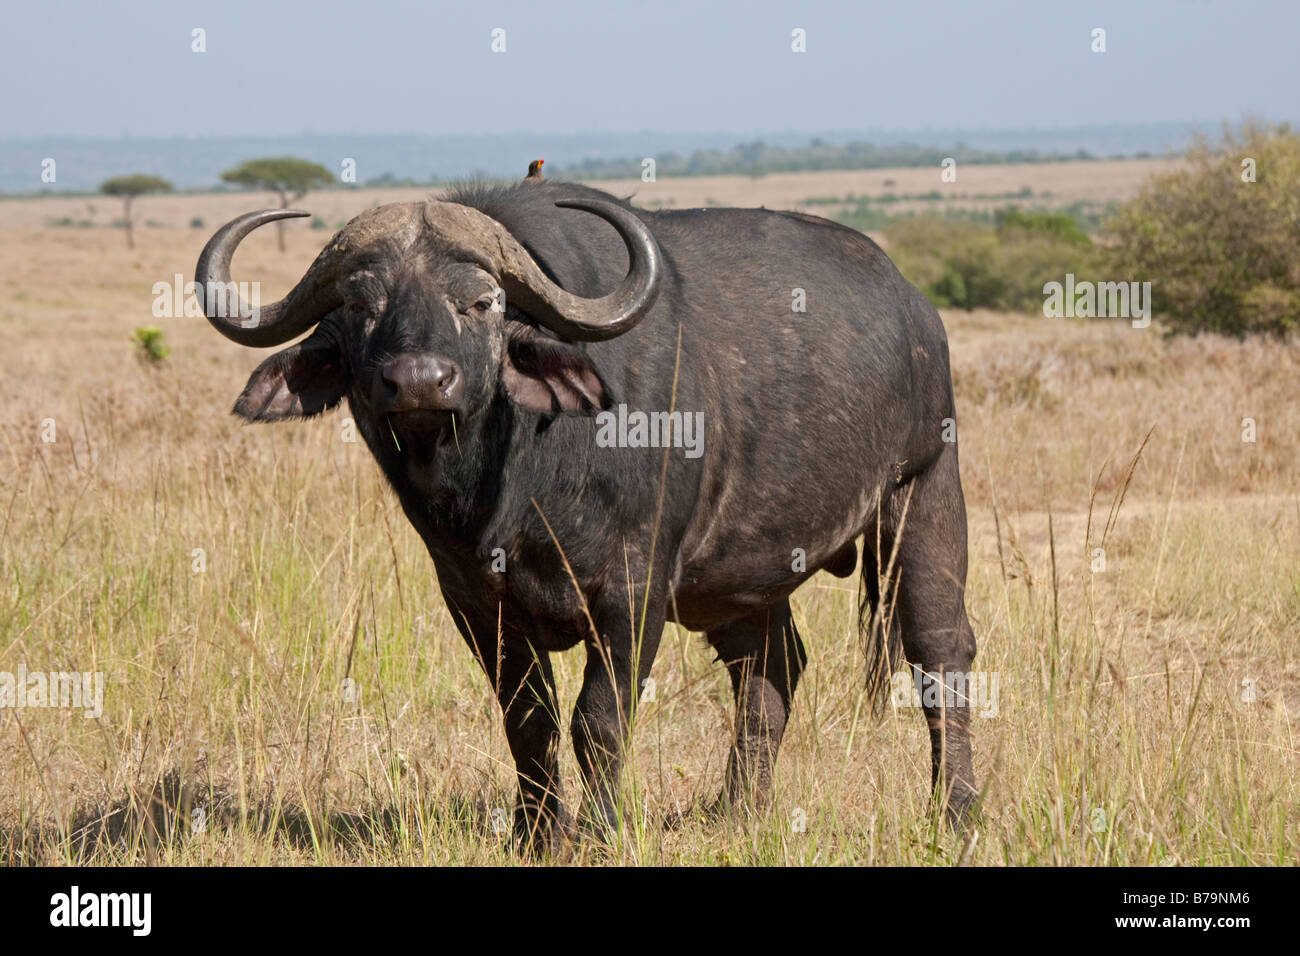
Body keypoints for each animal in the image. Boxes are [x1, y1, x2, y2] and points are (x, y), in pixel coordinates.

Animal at [197, 178, 977, 842]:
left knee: (942, 655)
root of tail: (915, 308)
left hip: (923, 495)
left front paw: (600, 833)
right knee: (770, 671)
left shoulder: (633, 592)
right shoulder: (476, 602)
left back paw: (955, 813)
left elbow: (598, 719)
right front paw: (538, 834)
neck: (521, 483)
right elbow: (528, 722)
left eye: (482, 303)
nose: (418, 381)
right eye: (362, 308)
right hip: (744, 578)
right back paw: (737, 811)